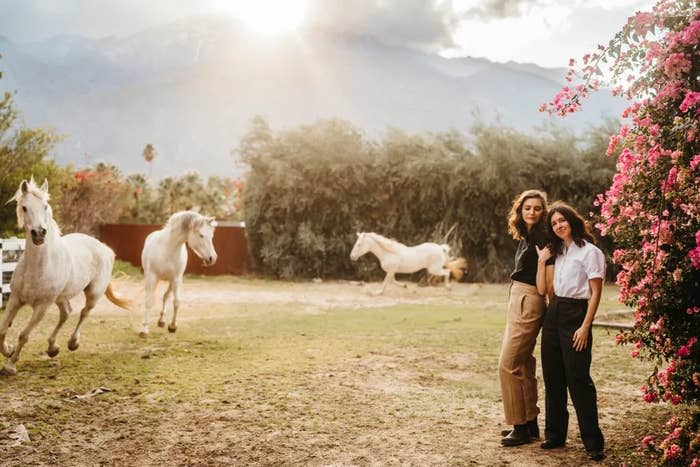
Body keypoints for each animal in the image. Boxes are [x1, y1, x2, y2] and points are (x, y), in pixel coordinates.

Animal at [0, 177, 133, 374]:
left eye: (45, 206)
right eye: (24, 207)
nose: (39, 234)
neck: (37, 266)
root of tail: (104, 248)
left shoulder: (42, 306)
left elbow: (24, 335)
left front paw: (10, 365)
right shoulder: (16, 299)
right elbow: (2, 329)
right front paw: (8, 350)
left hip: (93, 294)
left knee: (84, 312)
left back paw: (72, 343)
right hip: (61, 298)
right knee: (66, 313)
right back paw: (52, 348)